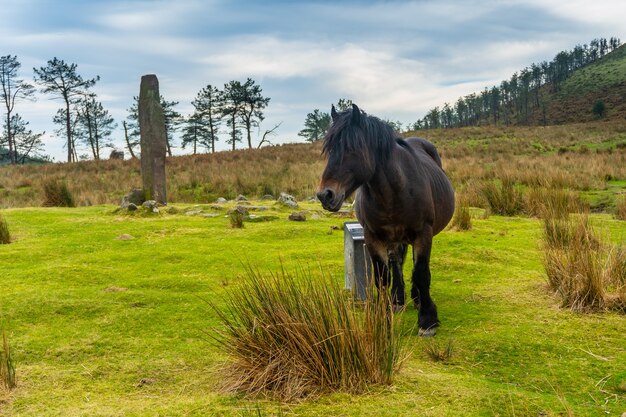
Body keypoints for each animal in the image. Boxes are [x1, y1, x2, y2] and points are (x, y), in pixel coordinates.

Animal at [316, 103, 454, 334]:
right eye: (330, 149)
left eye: (352, 148)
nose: (325, 195)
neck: (394, 192)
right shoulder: (373, 237)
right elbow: (382, 277)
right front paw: (381, 317)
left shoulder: (423, 233)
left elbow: (421, 273)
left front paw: (427, 319)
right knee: (396, 262)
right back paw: (398, 299)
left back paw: (417, 298)